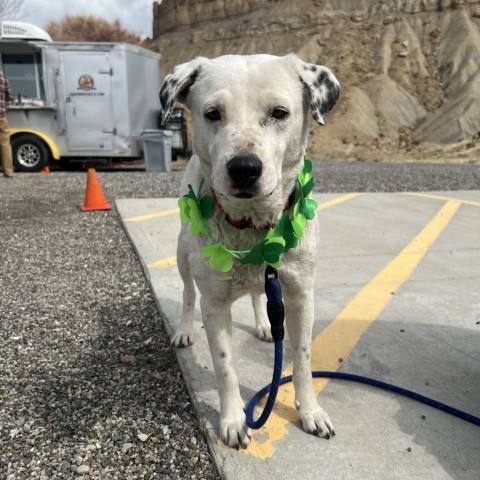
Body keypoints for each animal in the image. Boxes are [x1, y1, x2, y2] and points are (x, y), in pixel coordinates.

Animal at [159, 54, 340, 448]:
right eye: (212, 113)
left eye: (279, 112)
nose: (244, 168)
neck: (252, 226)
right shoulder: (214, 306)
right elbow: (225, 367)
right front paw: (232, 421)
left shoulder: (300, 295)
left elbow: (303, 360)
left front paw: (311, 411)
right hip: (182, 255)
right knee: (187, 292)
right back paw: (183, 329)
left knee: (259, 294)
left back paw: (264, 324)